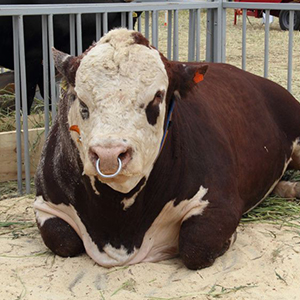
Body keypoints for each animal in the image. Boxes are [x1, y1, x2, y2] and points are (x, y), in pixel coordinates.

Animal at [33, 28, 300, 270]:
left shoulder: (219, 202)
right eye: (80, 99)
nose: (109, 155)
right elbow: (62, 240)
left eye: (156, 97)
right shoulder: (45, 204)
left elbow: (197, 245)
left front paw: (228, 240)